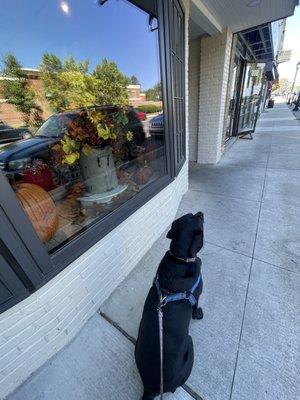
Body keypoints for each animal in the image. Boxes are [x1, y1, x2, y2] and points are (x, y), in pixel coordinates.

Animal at [135, 211, 204, 398]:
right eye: (200, 220)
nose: (200, 212)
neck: (179, 259)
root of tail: (151, 388)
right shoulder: (198, 294)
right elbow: (195, 306)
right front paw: (198, 313)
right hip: (190, 344)